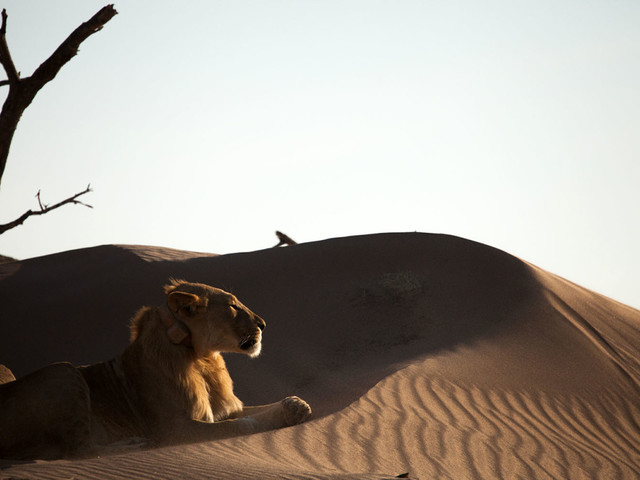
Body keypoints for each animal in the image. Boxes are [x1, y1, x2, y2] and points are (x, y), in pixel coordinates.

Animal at [0, 280, 310, 460]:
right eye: (233, 306)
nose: (263, 324)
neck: (203, 359)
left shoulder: (225, 409)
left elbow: (259, 409)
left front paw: (295, 406)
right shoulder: (176, 429)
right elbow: (240, 425)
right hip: (63, 372)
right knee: (78, 451)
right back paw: (134, 445)